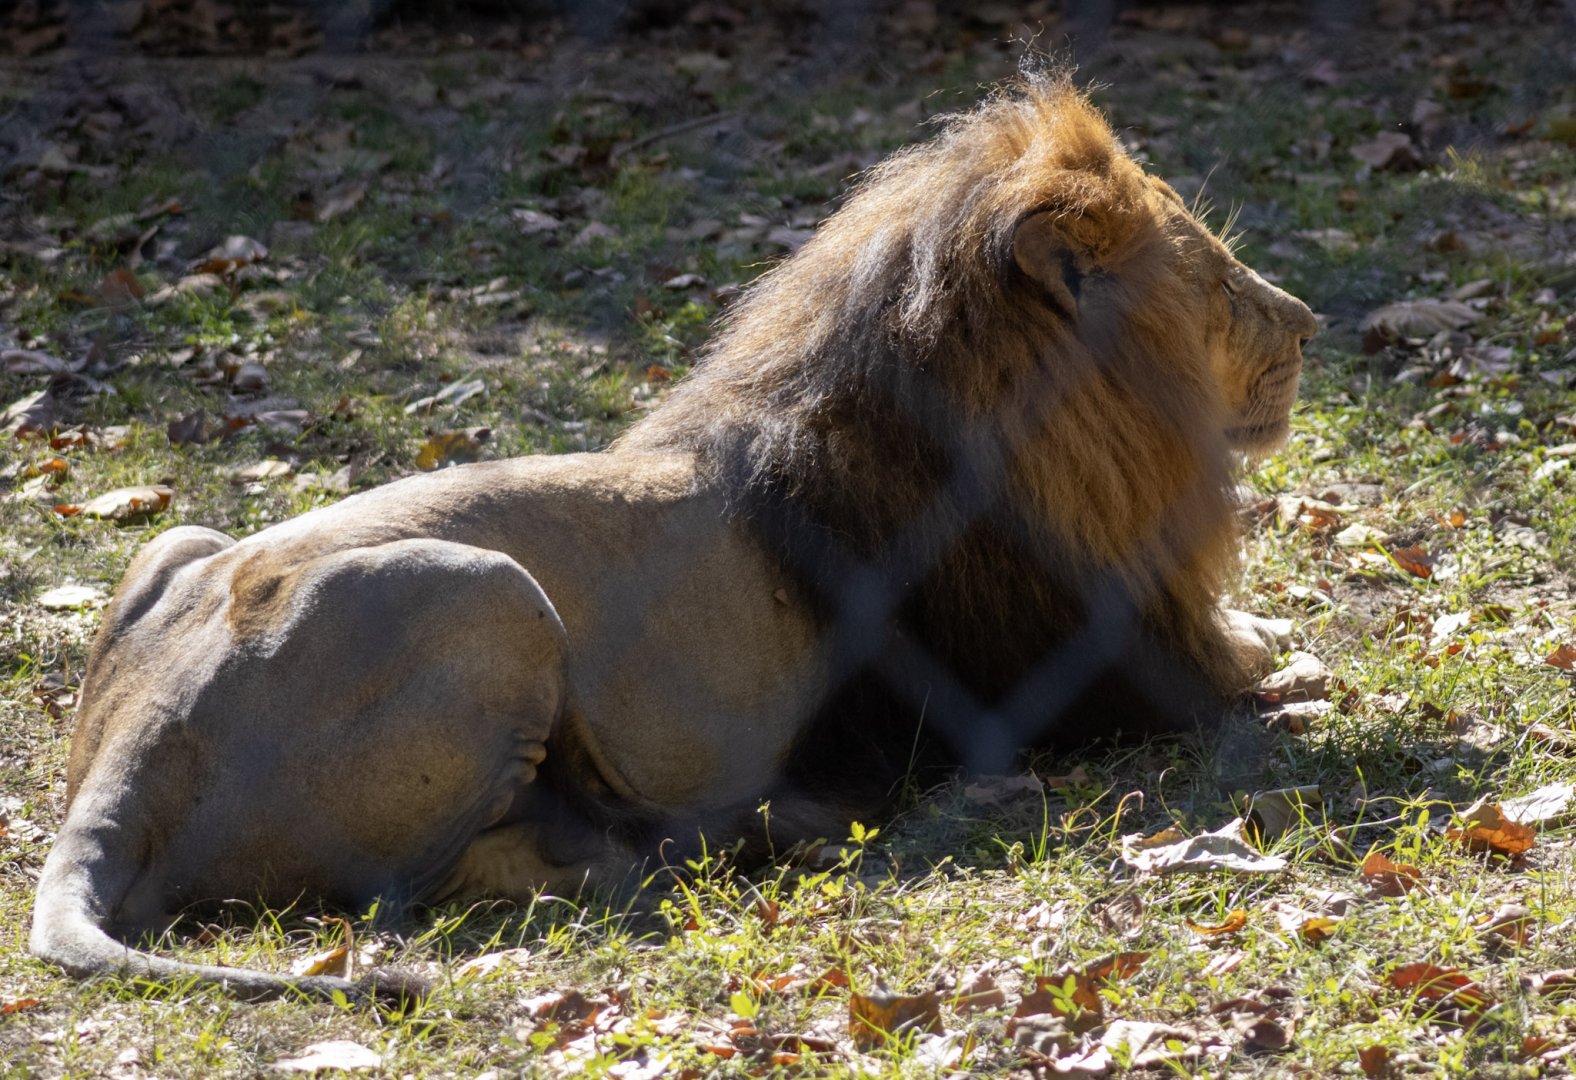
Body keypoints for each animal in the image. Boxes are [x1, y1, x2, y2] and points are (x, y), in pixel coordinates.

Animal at [31, 73, 1316, 1000]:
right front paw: (1294, 658)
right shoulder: (1104, 668)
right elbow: (1260, 664)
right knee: (439, 887)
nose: (1308, 322)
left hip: (179, 542)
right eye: (1216, 277)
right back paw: (723, 839)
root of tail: (132, 750)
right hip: (489, 592)